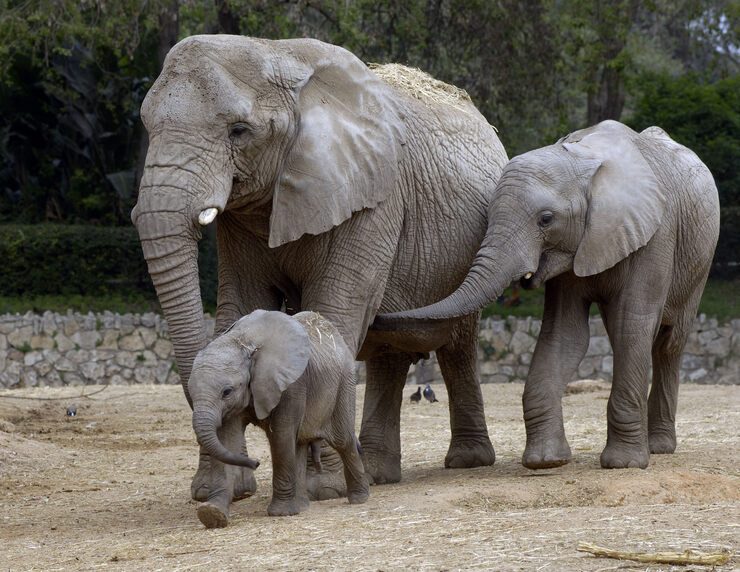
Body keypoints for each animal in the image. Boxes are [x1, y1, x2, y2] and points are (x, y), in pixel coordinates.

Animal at [132, 33, 508, 502]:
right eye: (147, 128)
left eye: (239, 131)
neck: (276, 53)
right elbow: (240, 308)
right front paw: (221, 492)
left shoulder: (374, 197)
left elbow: (335, 308)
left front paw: (322, 488)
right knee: (388, 352)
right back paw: (377, 472)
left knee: (457, 344)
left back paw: (463, 462)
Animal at [188, 308, 368, 528]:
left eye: (227, 392)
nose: (256, 463)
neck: (244, 342)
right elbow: (228, 441)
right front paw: (212, 514)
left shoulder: (291, 384)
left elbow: (281, 437)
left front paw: (281, 513)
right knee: (299, 443)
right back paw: (302, 506)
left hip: (345, 381)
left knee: (342, 440)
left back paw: (359, 499)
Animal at [372, 120, 720, 470]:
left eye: (546, 219)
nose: (375, 317)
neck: (584, 158)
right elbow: (565, 334)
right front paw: (545, 461)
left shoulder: (656, 236)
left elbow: (631, 327)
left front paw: (623, 464)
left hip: (700, 261)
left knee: (668, 343)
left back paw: (659, 446)